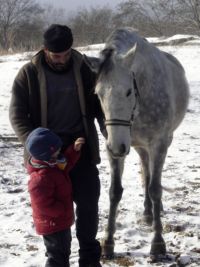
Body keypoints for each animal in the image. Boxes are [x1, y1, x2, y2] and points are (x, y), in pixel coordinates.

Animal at [84, 28, 189, 260]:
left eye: (128, 91)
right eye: (98, 94)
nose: (117, 147)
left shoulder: (158, 144)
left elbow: (156, 189)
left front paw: (158, 244)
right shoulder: (113, 147)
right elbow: (115, 192)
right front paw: (108, 242)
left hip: (159, 143)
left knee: (152, 179)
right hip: (139, 147)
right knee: (145, 172)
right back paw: (148, 213)